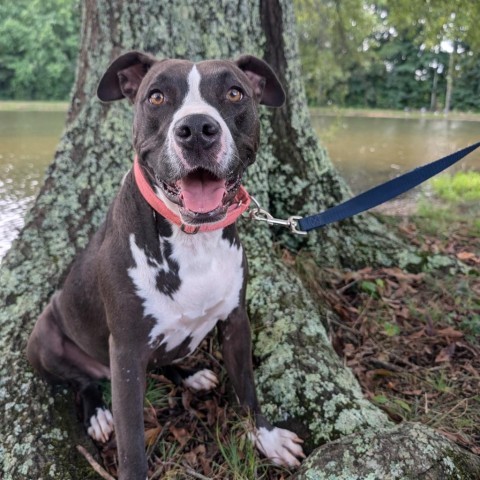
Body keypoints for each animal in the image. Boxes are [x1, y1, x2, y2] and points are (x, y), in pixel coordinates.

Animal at [26, 50, 304, 478]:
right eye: (156, 97)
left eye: (235, 92)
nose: (197, 129)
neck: (192, 239)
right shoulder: (125, 353)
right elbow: (132, 448)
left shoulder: (236, 321)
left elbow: (247, 388)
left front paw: (267, 438)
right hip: (44, 338)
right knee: (82, 382)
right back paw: (98, 413)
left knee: (162, 362)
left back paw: (190, 375)